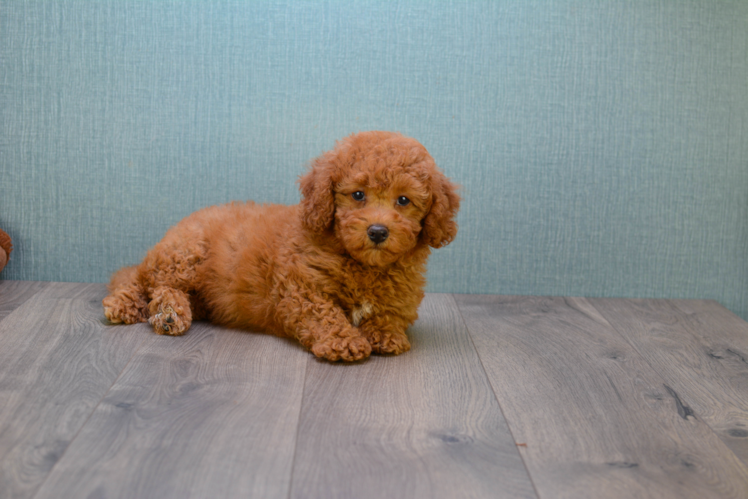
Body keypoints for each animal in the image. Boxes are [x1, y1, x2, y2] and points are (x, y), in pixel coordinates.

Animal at [102, 131, 458, 362]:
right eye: (358, 195)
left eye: (403, 200)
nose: (378, 231)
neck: (362, 265)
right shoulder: (301, 290)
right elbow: (325, 313)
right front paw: (342, 340)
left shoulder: (402, 296)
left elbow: (390, 315)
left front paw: (385, 335)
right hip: (184, 254)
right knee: (143, 281)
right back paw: (146, 309)